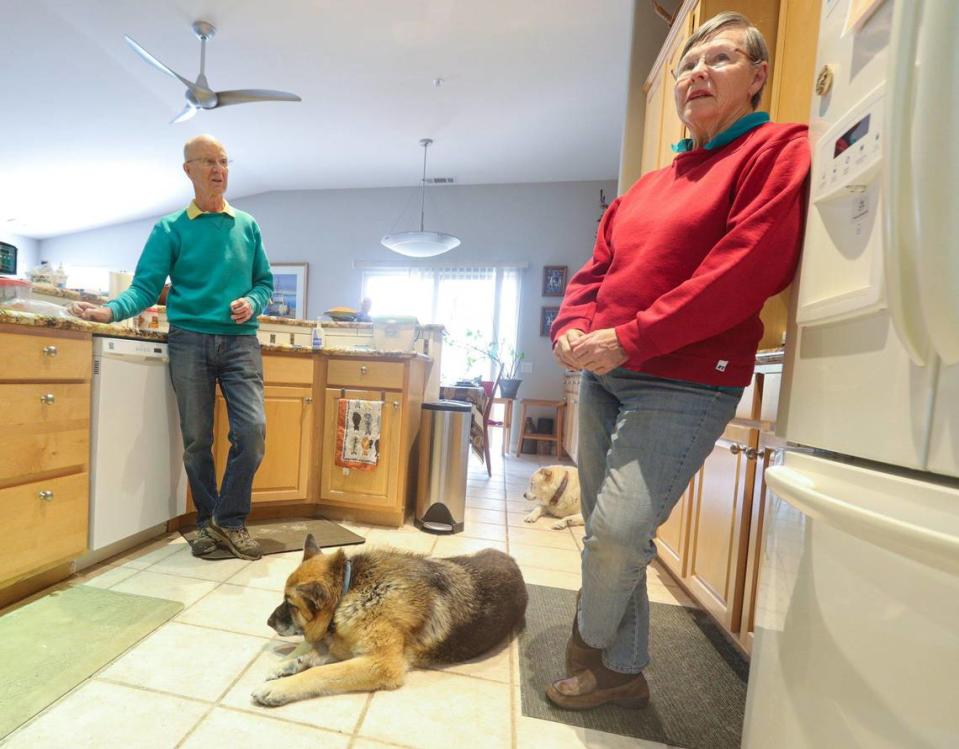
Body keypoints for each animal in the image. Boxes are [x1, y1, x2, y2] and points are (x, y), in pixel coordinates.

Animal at [251, 536, 528, 704]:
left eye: (290, 604)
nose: (268, 622)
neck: (350, 588)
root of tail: (515, 564)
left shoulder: (381, 664)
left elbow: (322, 672)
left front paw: (281, 687)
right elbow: (315, 654)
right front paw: (287, 664)